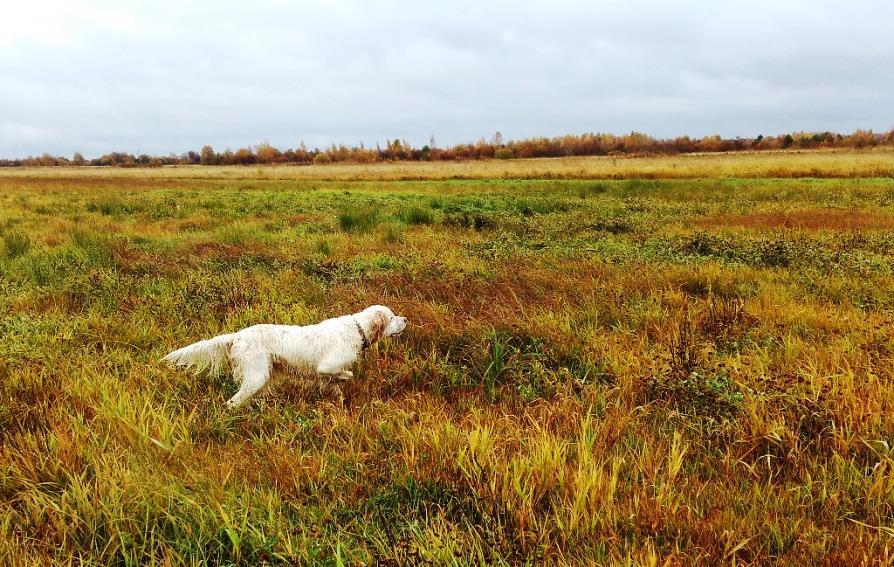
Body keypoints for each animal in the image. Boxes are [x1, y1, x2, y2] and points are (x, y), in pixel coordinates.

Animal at [163, 306, 408, 408]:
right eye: (392, 317)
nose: (406, 319)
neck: (357, 329)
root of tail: (238, 336)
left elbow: (336, 388)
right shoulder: (326, 366)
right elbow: (345, 374)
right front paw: (346, 378)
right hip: (257, 376)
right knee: (232, 402)